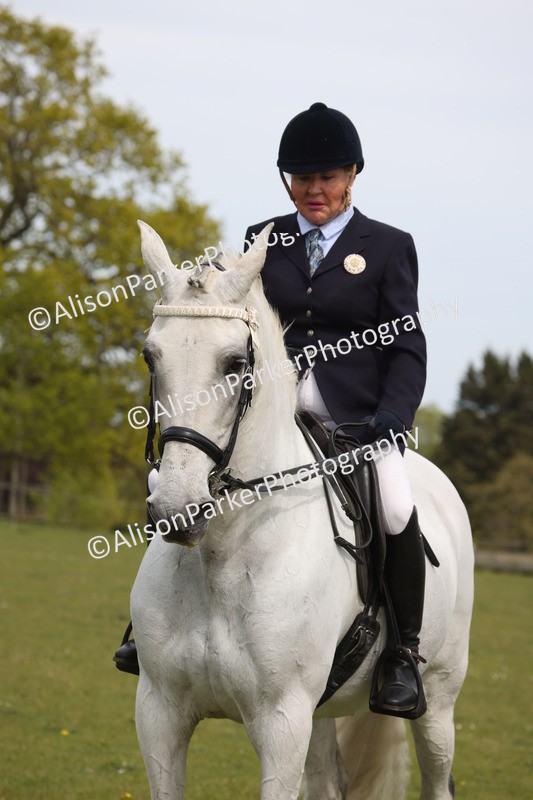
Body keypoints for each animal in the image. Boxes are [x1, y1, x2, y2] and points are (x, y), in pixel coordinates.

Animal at [130, 220, 474, 800]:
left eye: (236, 364)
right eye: (151, 356)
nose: (179, 508)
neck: (221, 557)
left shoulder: (282, 721)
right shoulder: (159, 712)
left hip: (439, 701)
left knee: (438, 775)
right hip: (322, 712)